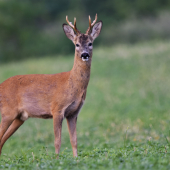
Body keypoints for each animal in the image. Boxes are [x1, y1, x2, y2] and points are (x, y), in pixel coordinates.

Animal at [0, 13, 102, 157]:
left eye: (90, 43)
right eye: (76, 44)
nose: (85, 54)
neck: (72, 84)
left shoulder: (73, 113)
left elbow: (74, 140)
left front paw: (76, 159)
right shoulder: (57, 109)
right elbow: (57, 141)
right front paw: (57, 159)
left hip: (20, 117)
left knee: (2, 141)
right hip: (7, 111)